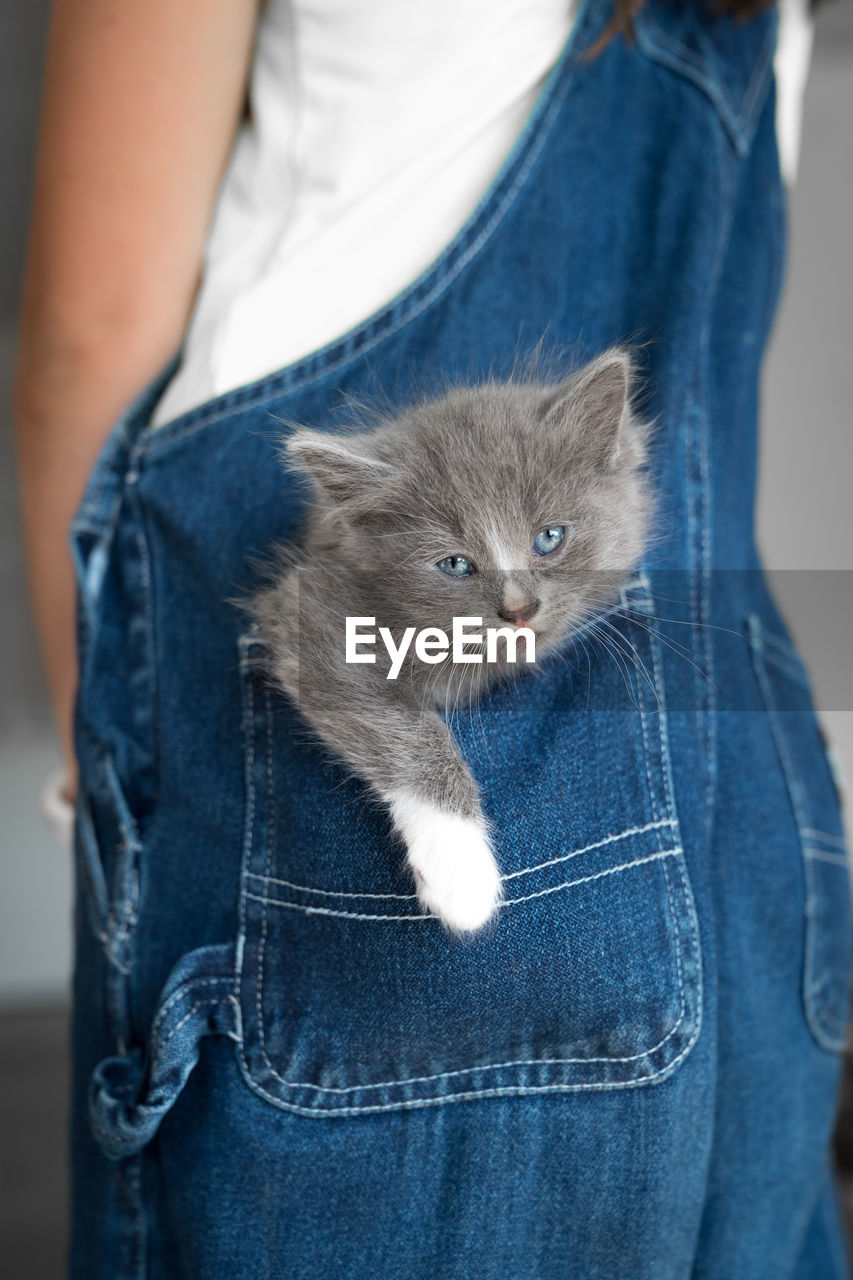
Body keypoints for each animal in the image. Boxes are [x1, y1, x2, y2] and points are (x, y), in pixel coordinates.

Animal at [249, 348, 648, 931]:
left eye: (549, 538)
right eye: (455, 565)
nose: (519, 610)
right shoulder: (311, 610)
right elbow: (406, 729)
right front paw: (461, 870)